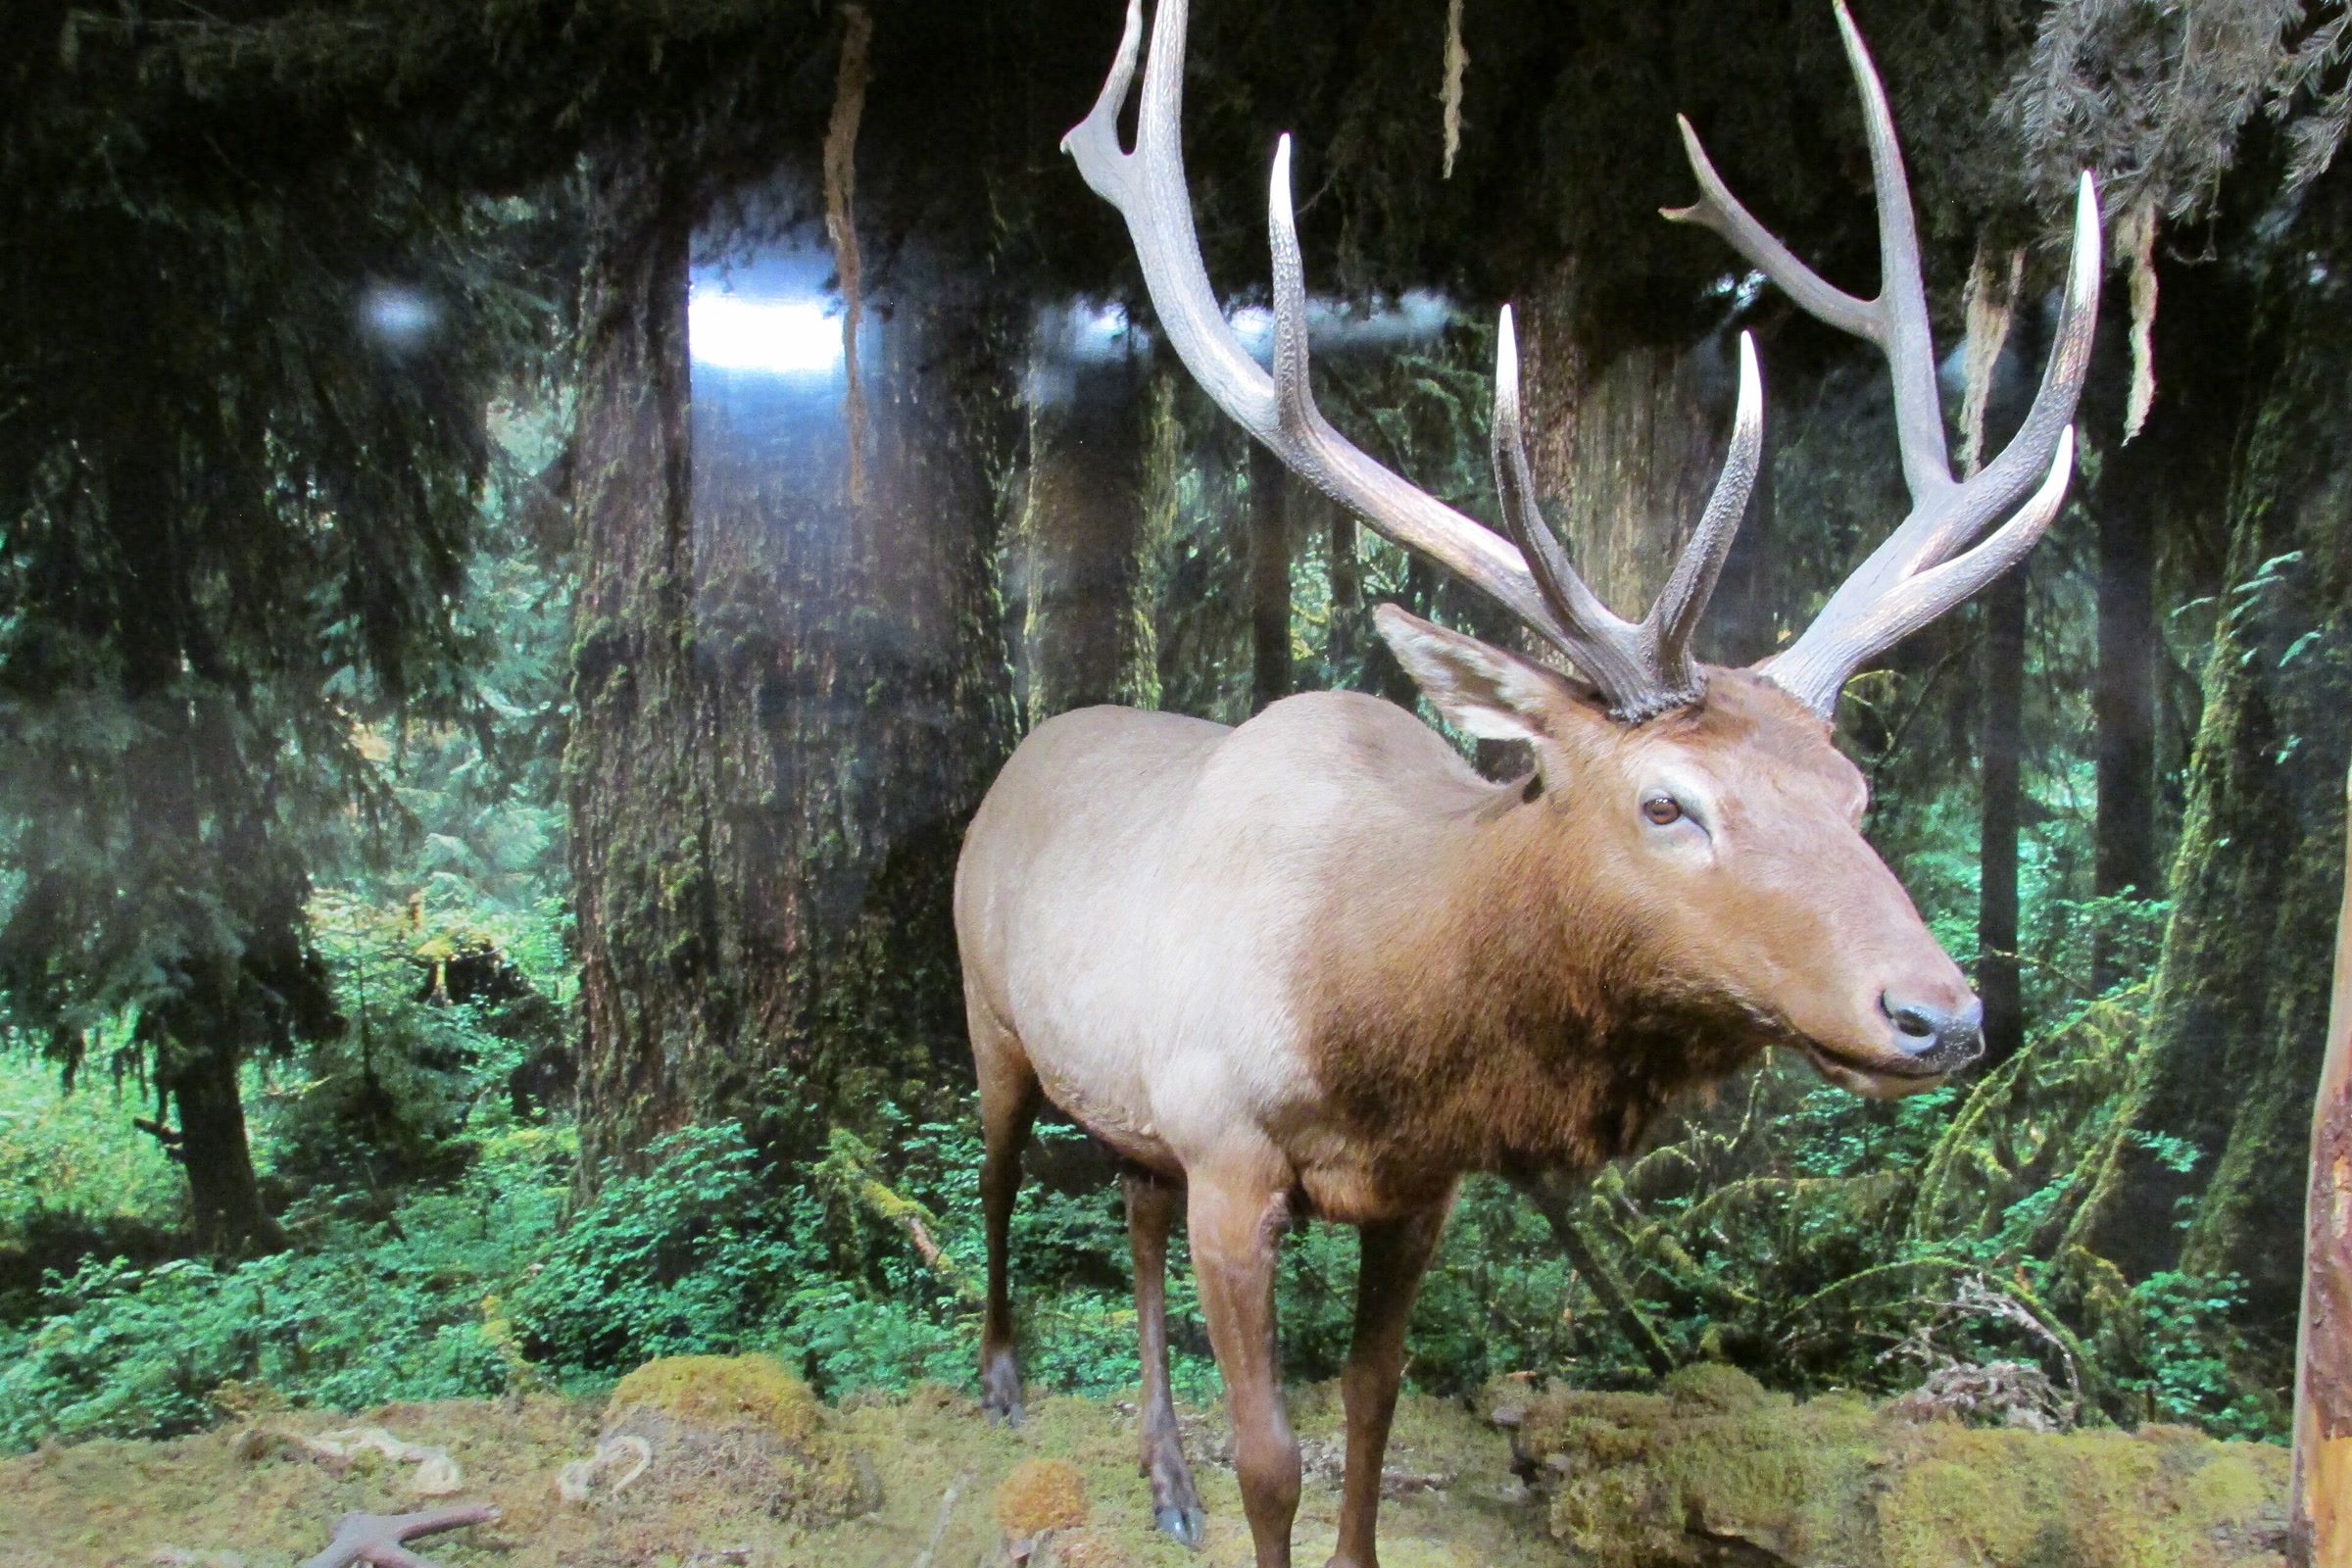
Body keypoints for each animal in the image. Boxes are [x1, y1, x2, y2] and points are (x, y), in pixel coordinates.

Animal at [953, 2, 2101, 1563]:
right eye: (1667, 801)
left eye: (1854, 794)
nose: (1939, 1014)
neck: (1370, 1017)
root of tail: (1023, 753)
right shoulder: (1231, 1152)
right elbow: (1279, 1458)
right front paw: (1233, 1474)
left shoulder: (1412, 1187)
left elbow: (1372, 1414)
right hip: (990, 1013)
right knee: (1000, 1174)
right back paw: (1007, 1378)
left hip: (1130, 1099)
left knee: (1127, 1219)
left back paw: (1161, 1472)